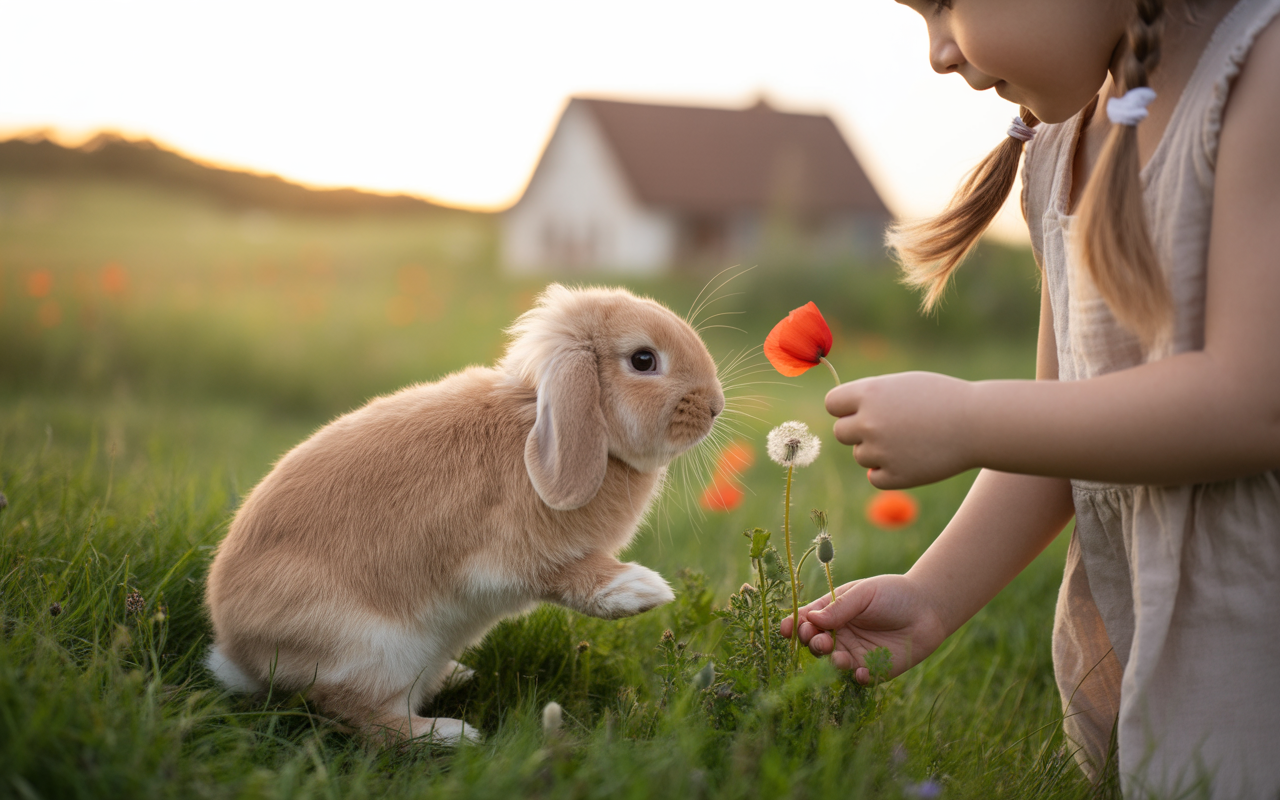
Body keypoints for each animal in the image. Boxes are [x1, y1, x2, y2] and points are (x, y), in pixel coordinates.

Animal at [204, 283, 724, 745]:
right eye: (643, 360)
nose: (716, 406)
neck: (531, 424)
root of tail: (241, 656)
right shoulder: (510, 557)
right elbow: (568, 576)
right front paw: (643, 590)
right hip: (372, 649)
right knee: (359, 713)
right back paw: (448, 735)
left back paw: (457, 676)